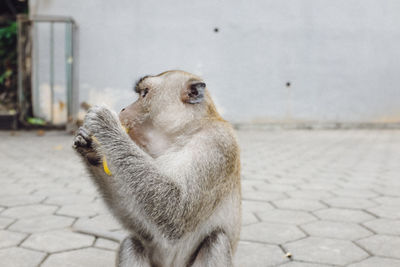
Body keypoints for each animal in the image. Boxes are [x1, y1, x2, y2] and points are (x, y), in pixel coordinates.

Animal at [74, 70, 242, 266]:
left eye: (144, 93)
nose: (123, 109)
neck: (183, 135)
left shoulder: (217, 146)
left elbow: (176, 213)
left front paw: (105, 122)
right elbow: (142, 227)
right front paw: (90, 148)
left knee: (216, 241)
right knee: (132, 242)